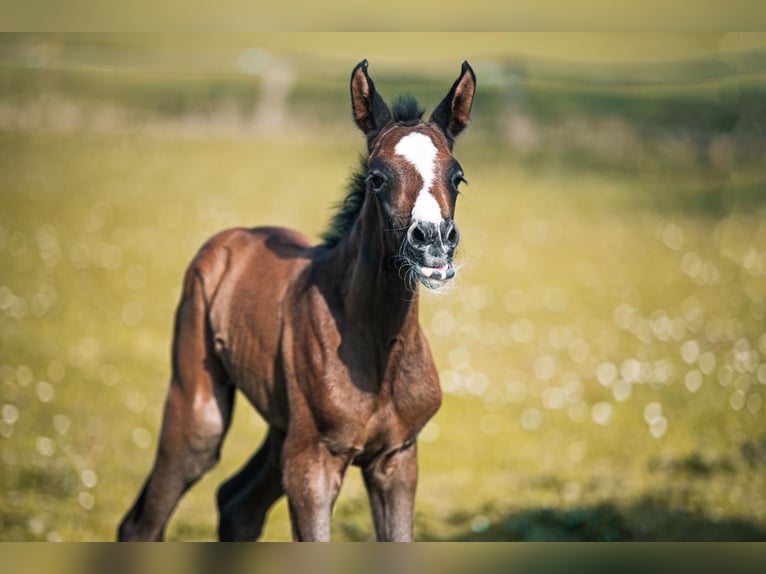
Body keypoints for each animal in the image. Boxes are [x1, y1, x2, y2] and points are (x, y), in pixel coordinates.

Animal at [117, 59, 476, 542]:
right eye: (377, 178)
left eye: (457, 177)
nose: (434, 242)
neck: (378, 350)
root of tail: (232, 239)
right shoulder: (312, 464)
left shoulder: (397, 458)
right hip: (201, 413)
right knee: (145, 520)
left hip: (282, 429)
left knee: (237, 503)